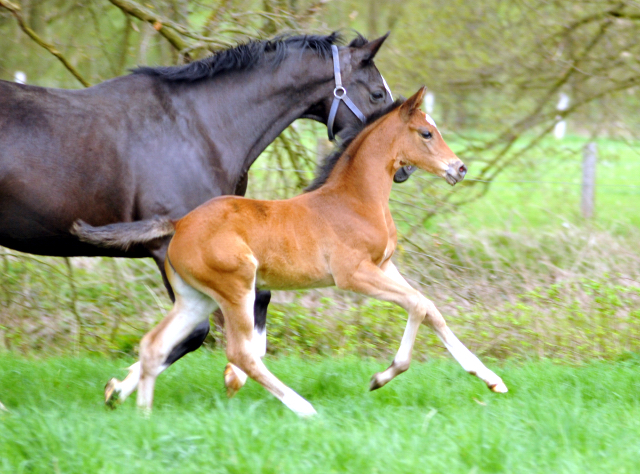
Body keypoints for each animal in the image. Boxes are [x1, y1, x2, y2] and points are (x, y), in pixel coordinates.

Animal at [0, 30, 400, 408]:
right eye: (377, 93)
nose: (402, 169)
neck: (199, 129)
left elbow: (253, 307)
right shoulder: (169, 246)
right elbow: (195, 334)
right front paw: (121, 390)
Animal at [74, 88, 504, 414]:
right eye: (426, 133)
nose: (459, 168)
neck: (357, 200)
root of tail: (179, 223)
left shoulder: (385, 267)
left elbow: (430, 307)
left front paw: (491, 379)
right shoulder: (353, 275)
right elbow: (417, 305)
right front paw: (382, 376)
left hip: (195, 298)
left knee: (155, 345)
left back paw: (143, 415)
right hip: (237, 288)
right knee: (241, 353)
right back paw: (303, 408)